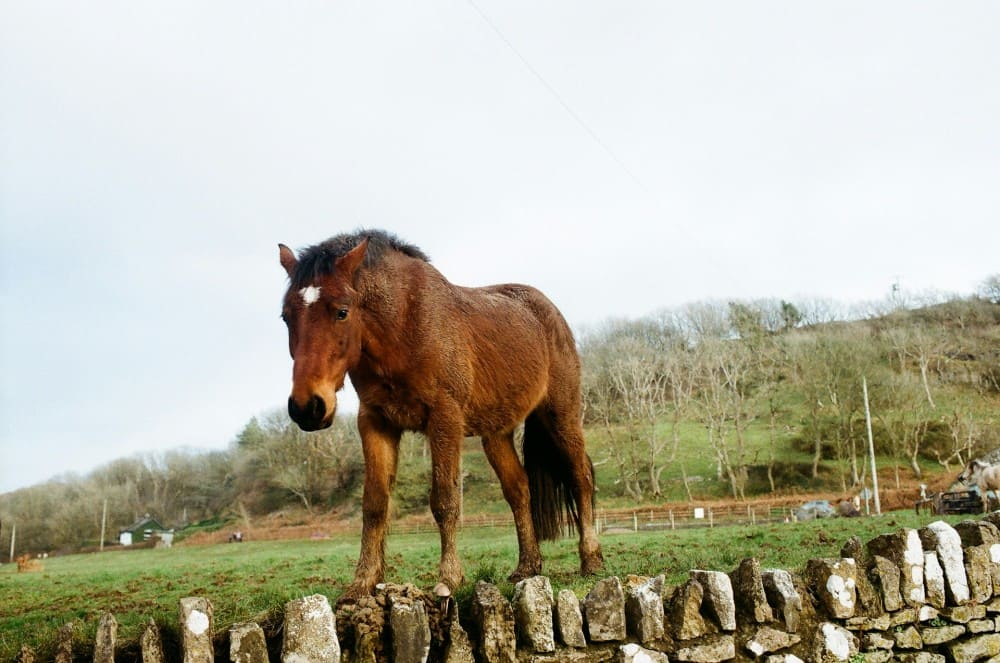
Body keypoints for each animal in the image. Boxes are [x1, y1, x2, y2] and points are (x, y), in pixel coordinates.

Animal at [277, 229, 604, 598]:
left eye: (342, 312)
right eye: (286, 316)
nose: (307, 406)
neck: (403, 325)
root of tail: (548, 311)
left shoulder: (444, 418)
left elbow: (445, 500)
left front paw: (449, 578)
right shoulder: (375, 422)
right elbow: (374, 504)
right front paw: (362, 583)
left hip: (561, 415)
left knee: (580, 478)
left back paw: (591, 559)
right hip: (496, 433)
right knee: (519, 490)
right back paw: (527, 567)